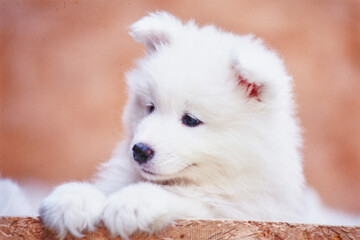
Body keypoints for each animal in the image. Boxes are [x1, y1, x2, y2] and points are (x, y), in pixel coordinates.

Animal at [38, 11, 310, 238]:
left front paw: (134, 201)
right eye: (150, 107)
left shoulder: (237, 212)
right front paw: (72, 199)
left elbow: (187, 200)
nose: (139, 151)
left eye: (190, 120)